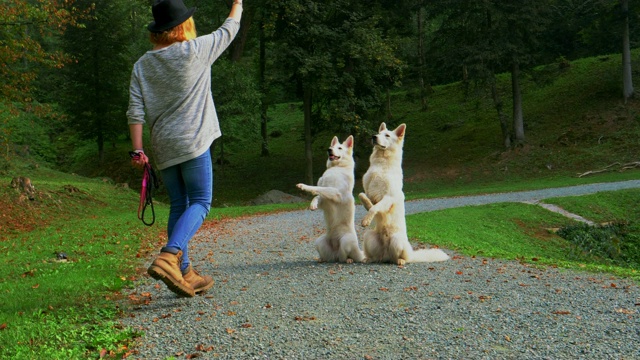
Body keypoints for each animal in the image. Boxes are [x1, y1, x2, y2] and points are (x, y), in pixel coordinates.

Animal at [358, 122, 448, 266]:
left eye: (387, 135)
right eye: (378, 133)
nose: (373, 137)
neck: (382, 165)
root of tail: (386, 256)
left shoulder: (388, 197)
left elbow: (375, 207)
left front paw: (367, 219)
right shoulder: (368, 192)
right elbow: (364, 197)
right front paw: (368, 211)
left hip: (397, 240)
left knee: (402, 258)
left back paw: (400, 260)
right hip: (368, 236)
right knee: (375, 256)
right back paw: (369, 258)